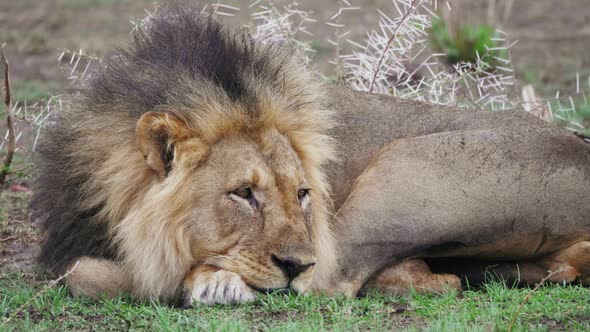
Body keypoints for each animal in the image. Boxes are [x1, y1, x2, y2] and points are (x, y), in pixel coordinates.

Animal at [33, 5, 590, 306]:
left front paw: (213, 283)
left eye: (303, 193)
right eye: (243, 193)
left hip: (400, 170)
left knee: (331, 283)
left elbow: (110, 274)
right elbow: (80, 270)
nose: (294, 263)